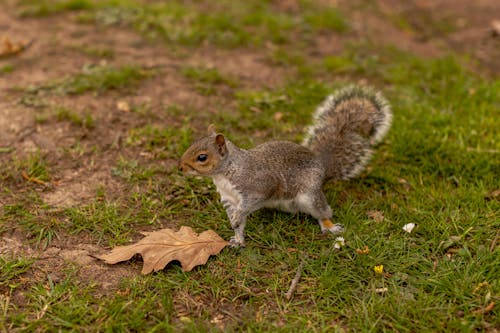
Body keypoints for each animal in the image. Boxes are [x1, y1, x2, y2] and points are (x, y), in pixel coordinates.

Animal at [182, 85, 392, 246]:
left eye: (202, 157)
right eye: (193, 143)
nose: (181, 167)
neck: (226, 172)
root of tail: (322, 165)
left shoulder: (257, 187)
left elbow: (248, 205)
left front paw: (237, 220)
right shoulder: (229, 199)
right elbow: (239, 222)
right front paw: (238, 238)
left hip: (310, 194)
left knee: (323, 212)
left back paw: (330, 227)